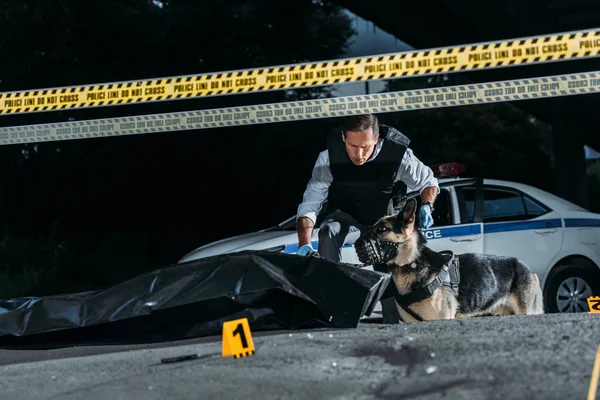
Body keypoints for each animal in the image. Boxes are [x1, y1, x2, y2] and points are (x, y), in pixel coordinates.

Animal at [354, 198, 548, 324]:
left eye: (382, 229)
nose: (356, 245)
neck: (414, 261)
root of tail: (527, 269)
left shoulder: (442, 318)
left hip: (527, 311)